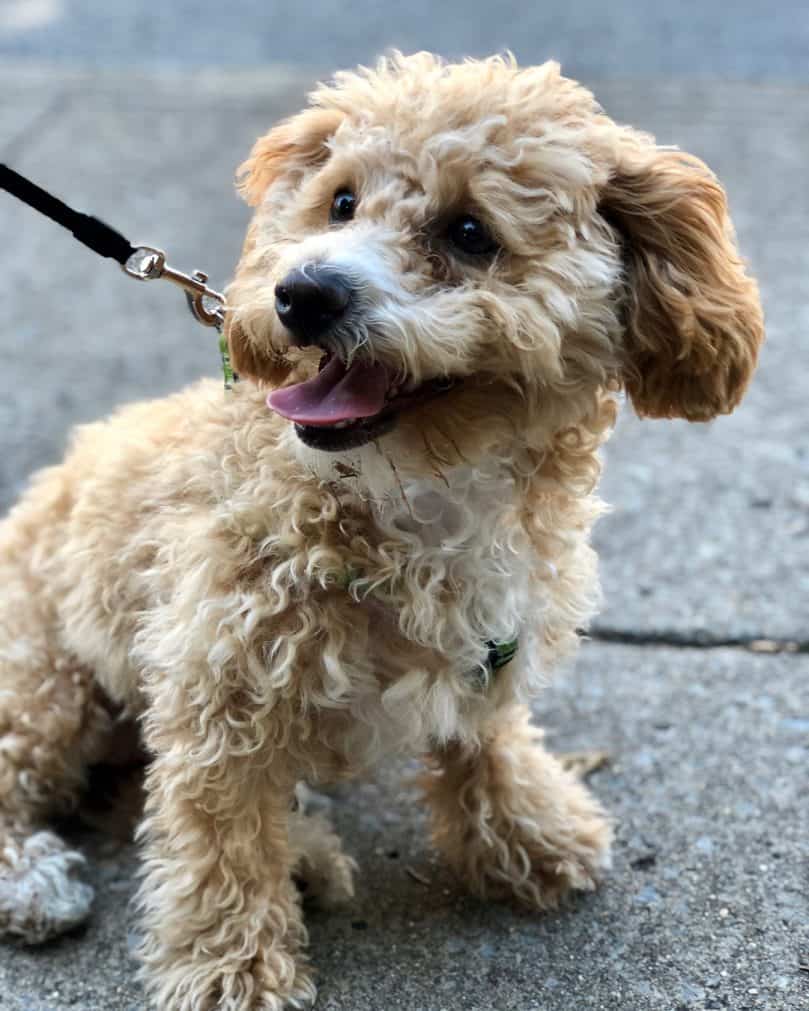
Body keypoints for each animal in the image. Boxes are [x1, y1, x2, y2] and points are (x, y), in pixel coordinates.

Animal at [0, 57, 760, 1011]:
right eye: (339, 202)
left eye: (469, 231)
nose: (299, 293)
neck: (415, 492)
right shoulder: (217, 694)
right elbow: (219, 844)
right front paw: (232, 967)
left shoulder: (492, 638)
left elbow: (485, 737)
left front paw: (526, 830)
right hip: (46, 684)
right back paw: (36, 880)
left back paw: (308, 851)